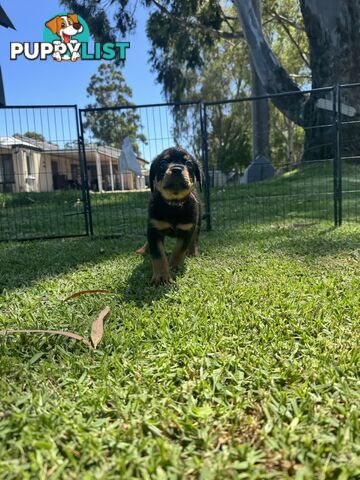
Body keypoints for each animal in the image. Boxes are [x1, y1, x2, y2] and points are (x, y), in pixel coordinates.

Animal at [137, 148, 201, 284]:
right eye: (163, 163)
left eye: (188, 163)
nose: (176, 168)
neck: (173, 205)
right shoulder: (154, 228)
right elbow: (158, 255)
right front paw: (161, 276)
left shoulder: (187, 229)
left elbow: (179, 250)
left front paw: (174, 266)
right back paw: (143, 249)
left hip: (197, 223)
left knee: (194, 238)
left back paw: (193, 252)